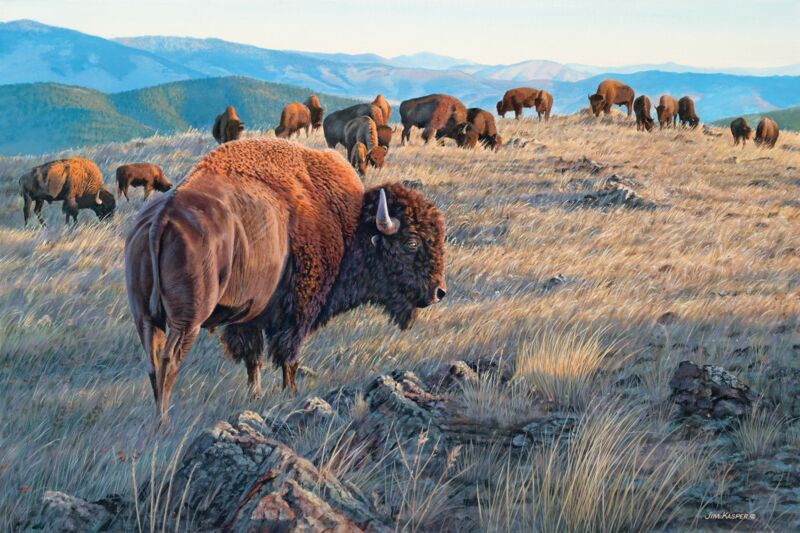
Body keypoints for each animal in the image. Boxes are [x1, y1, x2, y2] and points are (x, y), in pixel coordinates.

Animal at [125, 139, 446, 426]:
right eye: (411, 242)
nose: (438, 291)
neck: (347, 224)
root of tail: (161, 217)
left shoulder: (248, 318)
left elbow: (253, 358)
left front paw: (255, 396)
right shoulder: (298, 312)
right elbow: (288, 356)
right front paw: (291, 393)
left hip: (145, 317)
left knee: (153, 359)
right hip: (188, 319)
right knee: (169, 360)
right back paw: (164, 420)